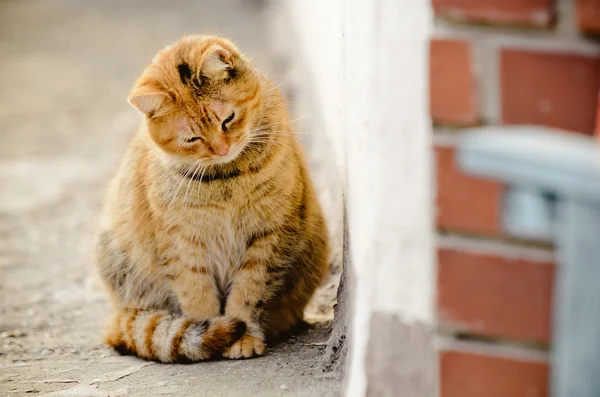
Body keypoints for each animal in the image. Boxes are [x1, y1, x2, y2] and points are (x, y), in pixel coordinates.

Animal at [94, 35, 328, 360]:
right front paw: (208, 330)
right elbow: (196, 294)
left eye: (228, 119)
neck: (225, 178)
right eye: (191, 139)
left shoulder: (269, 236)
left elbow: (250, 291)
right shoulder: (182, 245)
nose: (221, 149)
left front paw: (244, 335)